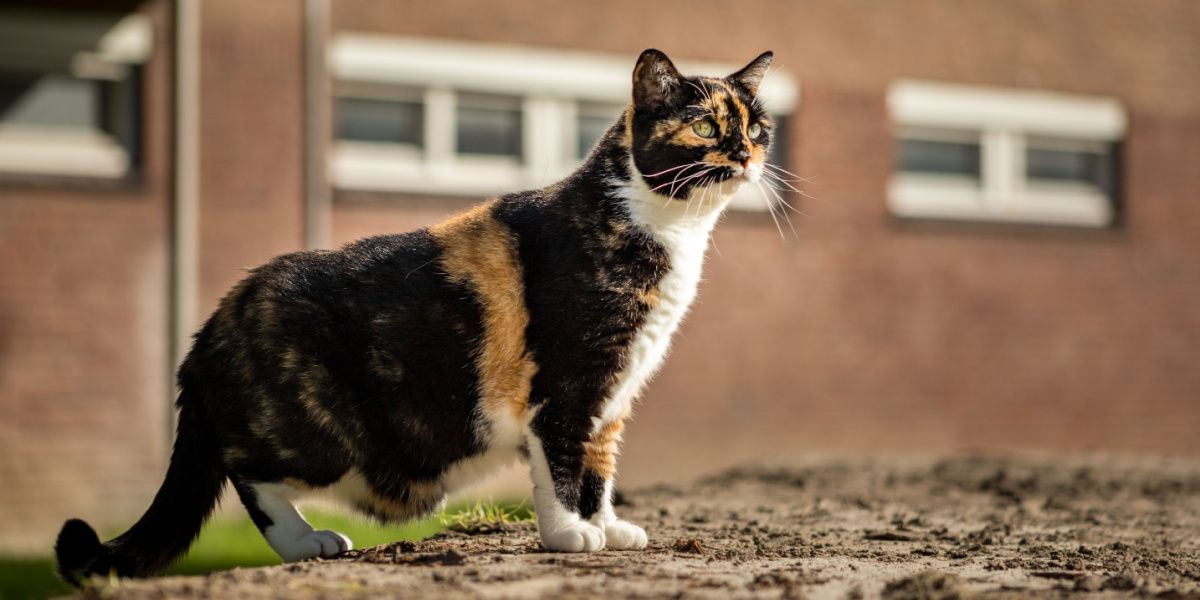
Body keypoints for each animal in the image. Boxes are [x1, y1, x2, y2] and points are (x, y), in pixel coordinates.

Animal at [54, 49, 777, 583]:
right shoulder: (568, 386)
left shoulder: (613, 395)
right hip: (315, 437)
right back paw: (305, 541)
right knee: (249, 472)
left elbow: (598, 470)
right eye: (706, 126)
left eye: (757, 126)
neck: (664, 229)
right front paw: (569, 535)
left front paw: (605, 527)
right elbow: (563, 465)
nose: (746, 154)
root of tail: (207, 331)